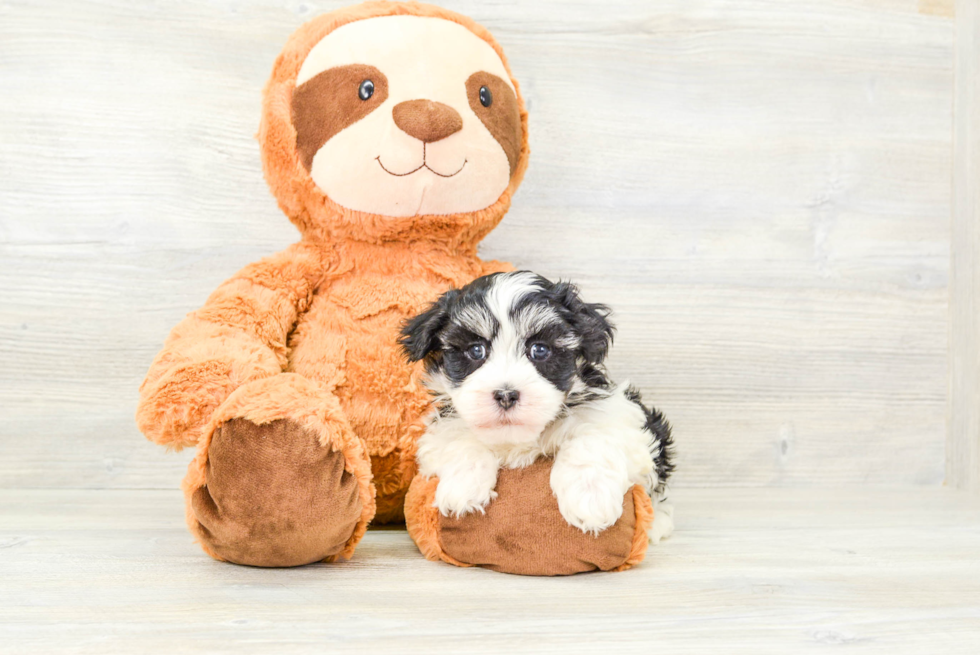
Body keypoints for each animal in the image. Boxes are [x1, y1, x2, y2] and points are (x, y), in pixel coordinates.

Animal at [398, 270, 672, 540]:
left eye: (539, 350)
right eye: (476, 350)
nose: (506, 395)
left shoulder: (619, 414)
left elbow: (592, 437)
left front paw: (590, 496)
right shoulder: (442, 426)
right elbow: (458, 437)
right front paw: (464, 486)